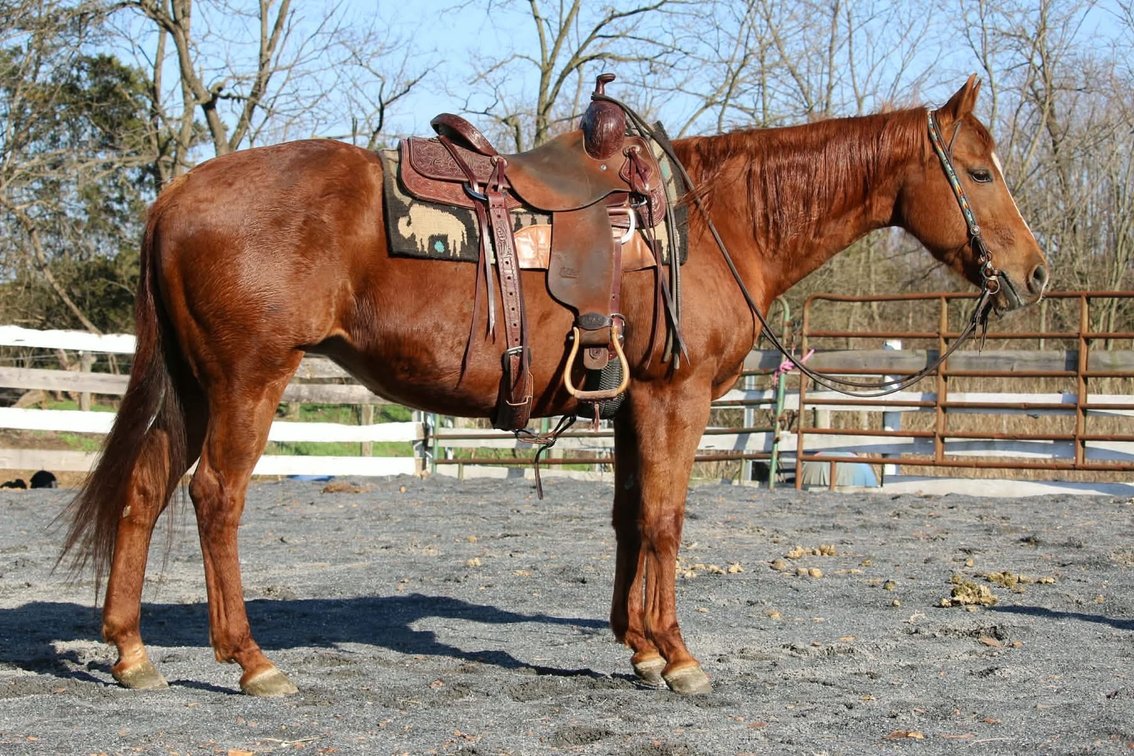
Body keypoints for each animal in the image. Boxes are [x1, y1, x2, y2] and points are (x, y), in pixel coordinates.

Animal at [61, 75, 1048, 696]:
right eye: (980, 171)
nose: (1035, 275)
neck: (714, 223)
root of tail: (175, 197)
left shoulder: (630, 402)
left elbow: (628, 518)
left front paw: (638, 647)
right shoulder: (677, 396)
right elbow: (665, 520)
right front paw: (678, 656)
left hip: (192, 388)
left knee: (144, 492)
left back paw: (131, 654)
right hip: (247, 382)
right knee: (215, 499)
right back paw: (252, 662)